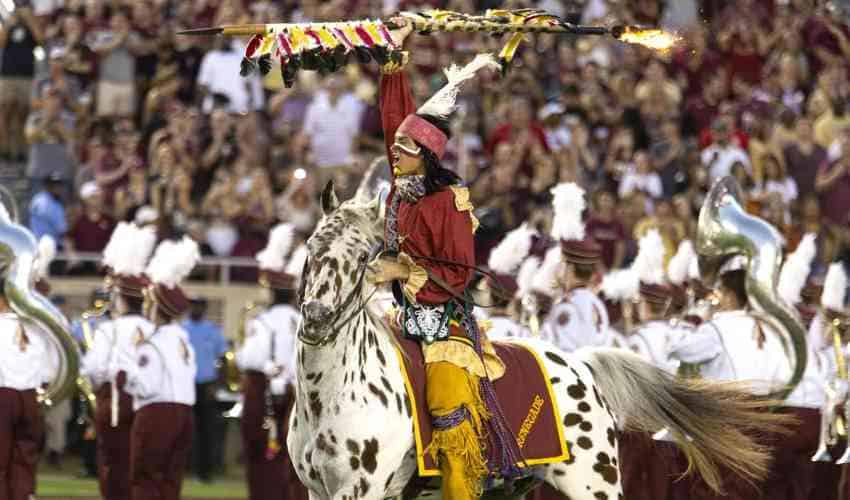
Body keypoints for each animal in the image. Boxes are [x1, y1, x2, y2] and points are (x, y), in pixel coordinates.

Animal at [288, 185, 784, 500]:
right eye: (312, 247)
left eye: (362, 257)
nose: (316, 319)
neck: (331, 394)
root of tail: (581, 366)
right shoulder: (319, 491)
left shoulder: (361, 491)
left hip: (595, 486)